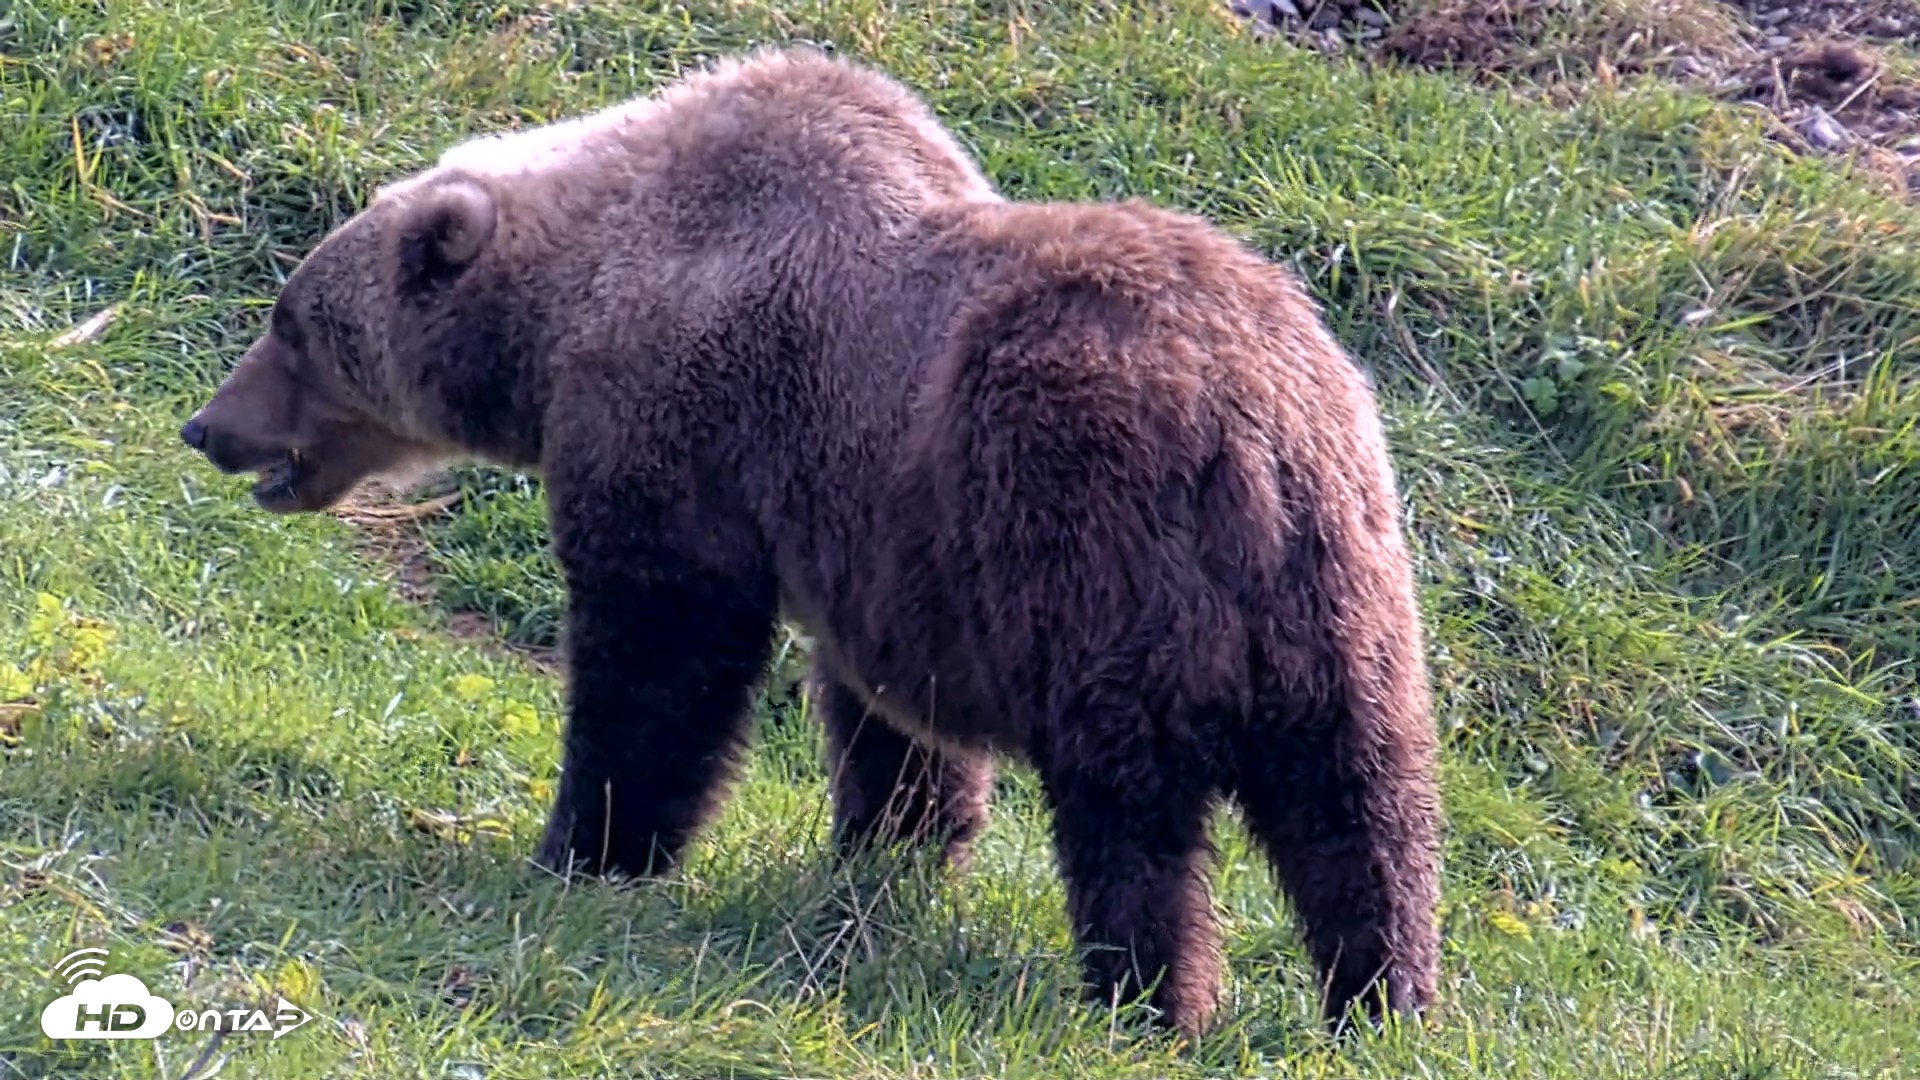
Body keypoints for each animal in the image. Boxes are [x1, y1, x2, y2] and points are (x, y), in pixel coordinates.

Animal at [177, 45, 1443, 1040]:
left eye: (293, 322)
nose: (207, 426)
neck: (569, 306)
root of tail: (1256, 433)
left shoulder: (690, 435)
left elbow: (659, 659)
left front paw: (587, 849)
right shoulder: (879, 544)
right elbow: (892, 726)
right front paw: (893, 855)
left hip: (1095, 542)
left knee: (1133, 811)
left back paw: (1148, 997)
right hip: (1343, 601)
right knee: (1363, 814)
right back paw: (1380, 1001)